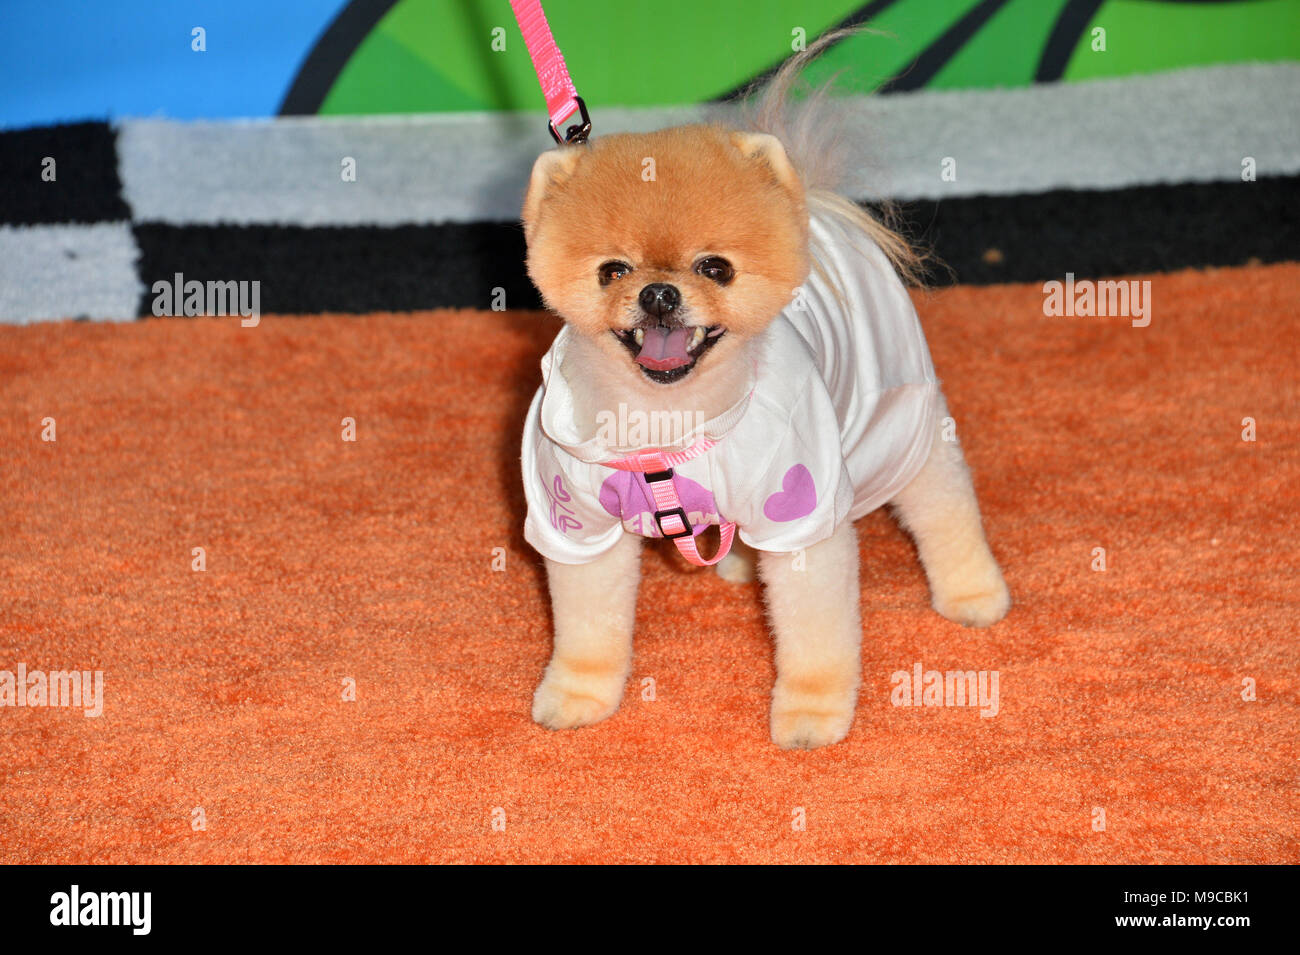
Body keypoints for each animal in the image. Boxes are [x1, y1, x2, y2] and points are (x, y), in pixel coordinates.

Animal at [514, 29, 1003, 748]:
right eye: (613, 271)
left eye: (715, 267)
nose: (658, 293)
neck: (666, 418)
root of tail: (821, 208)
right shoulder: (576, 526)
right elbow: (588, 630)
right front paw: (578, 695)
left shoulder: (802, 510)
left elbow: (815, 631)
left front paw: (811, 714)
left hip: (897, 421)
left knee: (943, 501)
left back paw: (973, 591)